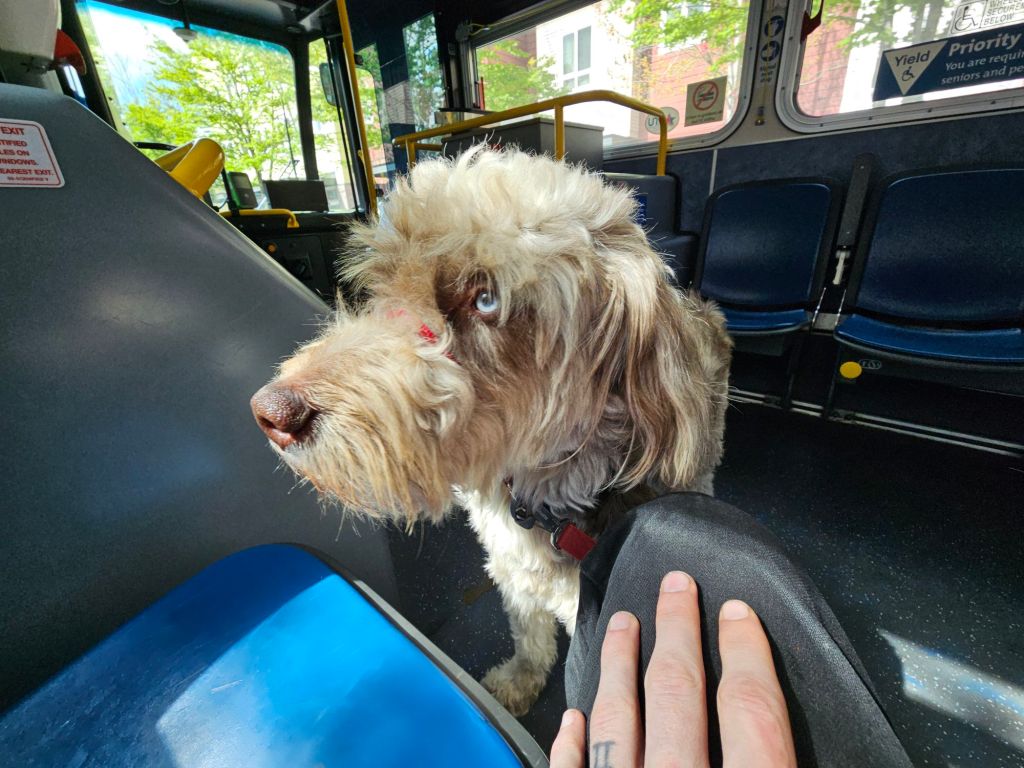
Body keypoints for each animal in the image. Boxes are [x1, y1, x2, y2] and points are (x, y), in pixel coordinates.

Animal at [251, 147, 731, 716]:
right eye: (382, 281)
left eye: (485, 300)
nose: (270, 412)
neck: (543, 501)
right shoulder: (516, 577)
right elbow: (529, 636)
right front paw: (519, 680)